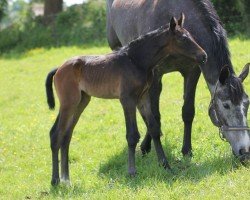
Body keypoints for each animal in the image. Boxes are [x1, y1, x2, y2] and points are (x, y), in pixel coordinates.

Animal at [45, 14, 207, 186]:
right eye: (183, 38)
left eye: (191, 35)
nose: (203, 56)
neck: (136, 61)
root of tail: (58, 69)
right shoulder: (127, 99)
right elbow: (132, 135)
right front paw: (132, 172)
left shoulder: (143, 98)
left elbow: (154, 128)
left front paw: (165, 165)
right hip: (68, 103)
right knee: (56, 134)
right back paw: (55, 180)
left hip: (81, 101)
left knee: (66, 135)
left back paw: (66, 179)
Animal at [106, 0, 250, 160]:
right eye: (225, 105)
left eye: (247, 103)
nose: (245, 152)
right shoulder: (155, 75)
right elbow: (154, 114)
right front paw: (146, 146)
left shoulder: (192, 72)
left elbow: (188, 112)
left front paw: (187, 150)